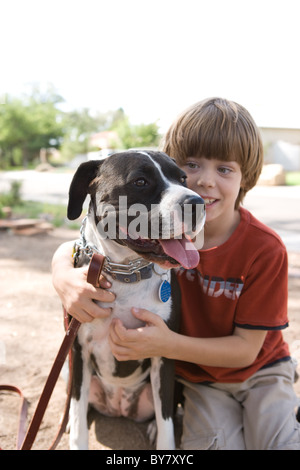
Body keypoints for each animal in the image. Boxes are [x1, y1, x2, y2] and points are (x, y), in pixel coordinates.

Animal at [66, 150, 205, 448]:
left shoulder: (163, 352)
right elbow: (78, 415)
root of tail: (119, 406)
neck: (125, 273)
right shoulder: (78, 351)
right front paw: (75, 430)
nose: (197, 203)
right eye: (140, 182)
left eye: (183, 178)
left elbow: (166, 422)